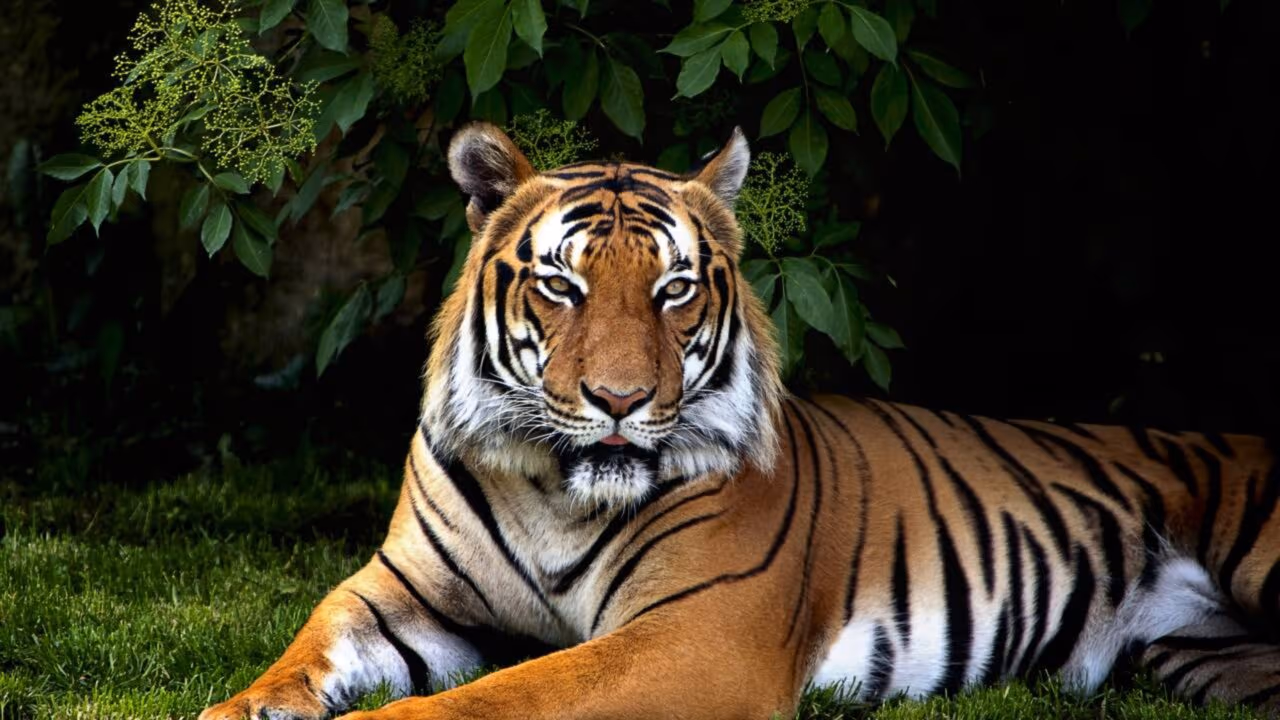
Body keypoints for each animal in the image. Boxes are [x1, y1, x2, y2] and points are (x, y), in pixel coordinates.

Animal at [200, 122, 1280, 720]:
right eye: (562, 285)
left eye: (674, 290)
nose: (620, 401)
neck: (554, 490)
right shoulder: (403, 592)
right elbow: (310, 643)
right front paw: (245, 706)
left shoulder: (694, 636)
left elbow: (498, 699)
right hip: (1213, 662)